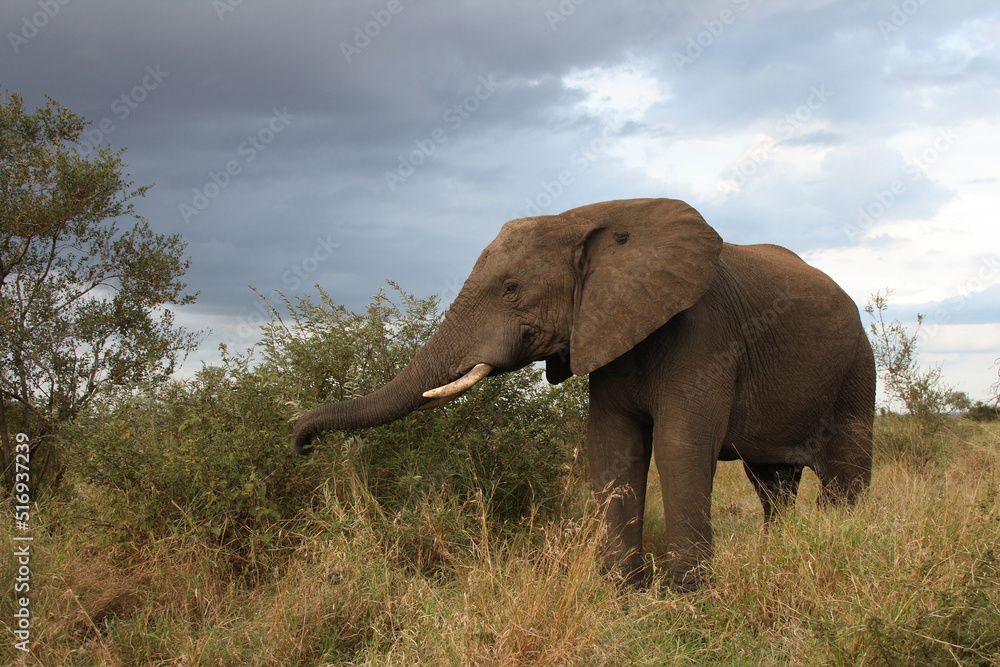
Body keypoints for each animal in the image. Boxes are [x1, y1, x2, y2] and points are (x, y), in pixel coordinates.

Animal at [293, 198, 875, 591]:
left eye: (511, 289)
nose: (301, 445)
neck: (586, 217)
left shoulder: (705, 334)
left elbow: (680, 448)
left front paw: (685, 593)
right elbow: (613, 447)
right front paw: (622, 591)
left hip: (856, 369)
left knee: (844, 475)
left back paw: (840, 544)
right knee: (772, 484)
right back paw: (780, 552)